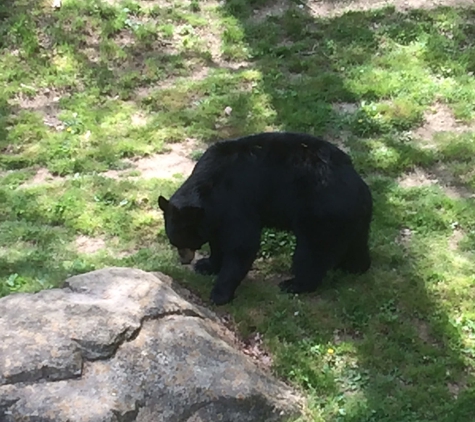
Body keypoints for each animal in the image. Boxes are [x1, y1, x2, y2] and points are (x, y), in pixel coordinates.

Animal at [158, 130, 374, 304]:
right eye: (174, 241)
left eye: (185, 240)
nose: (184, 260)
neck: (208, 188)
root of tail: (359, 186)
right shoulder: (216, 215)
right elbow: (218, 241)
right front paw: (206, 265)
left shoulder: (236, 202)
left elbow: (242, 244)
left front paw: (219, 294)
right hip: (353, 219)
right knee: (356, 245)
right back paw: (356, 267)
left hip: (320, 215)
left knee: (311, 253)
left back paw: (294, 284)